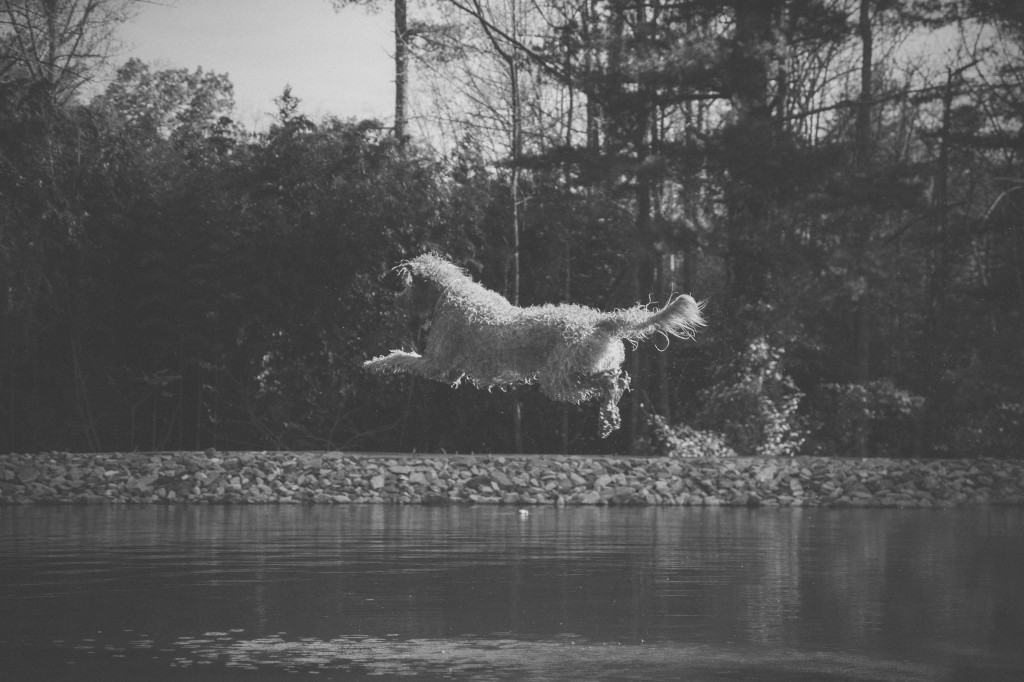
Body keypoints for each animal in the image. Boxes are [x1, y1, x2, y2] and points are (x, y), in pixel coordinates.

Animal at [362, 253, 704, 436]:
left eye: (406, 284)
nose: (395, 296)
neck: (450, 290)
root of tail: (600, 320)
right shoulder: (451, 373)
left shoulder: (436, 364)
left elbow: (401, 357)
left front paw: (375, 363)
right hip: (572, 371)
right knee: (614, 380)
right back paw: (609, 416)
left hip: (558, 376)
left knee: (607, 382)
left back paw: (608, 411)